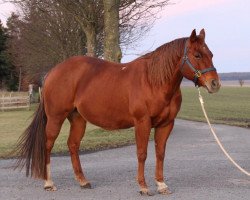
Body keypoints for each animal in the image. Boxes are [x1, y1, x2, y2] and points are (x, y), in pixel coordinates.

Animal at [14, 29, 220, 195]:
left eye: (211, 54)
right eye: (197, 55)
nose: (215, 84)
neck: (154, 81)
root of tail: (52, 72)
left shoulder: (166, 124)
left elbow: (160, 153)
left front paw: (162, 185)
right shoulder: (142, 123)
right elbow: (142, 153)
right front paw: (143, 187)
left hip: (78, 119)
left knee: (73, 145)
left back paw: (83, 181)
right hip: (56, 118)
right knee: (48, 145)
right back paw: (49, 183)